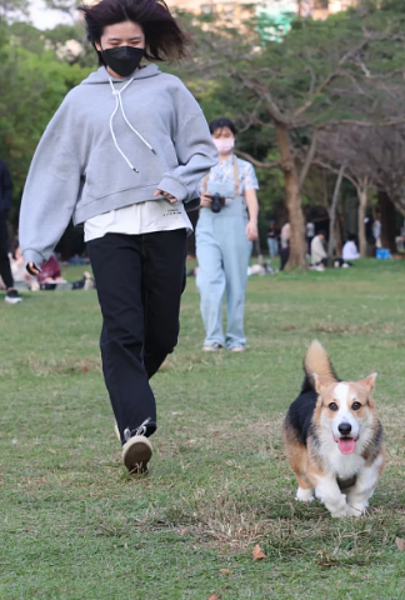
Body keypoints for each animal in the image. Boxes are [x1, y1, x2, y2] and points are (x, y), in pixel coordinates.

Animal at [282, 340, 384, 516]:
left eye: (356, 405)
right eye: (332, 406)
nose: (344, 428)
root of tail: (308, 389)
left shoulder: (373, 465)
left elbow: (361, 489)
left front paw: (356, 510)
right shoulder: (319, 470)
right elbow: (331, 493)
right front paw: (342, 512)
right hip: (295, 454)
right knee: (302, 476)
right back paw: (304, 497)